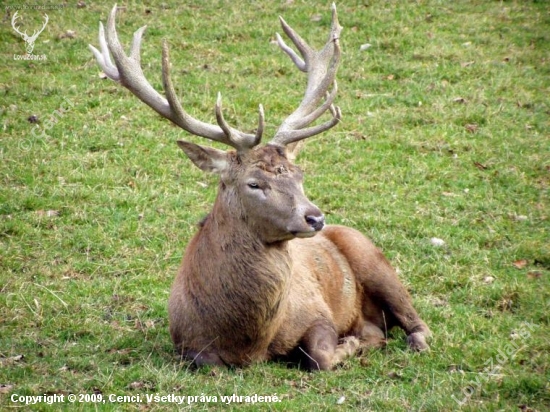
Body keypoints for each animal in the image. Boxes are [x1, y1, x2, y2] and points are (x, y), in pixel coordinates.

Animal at [90, 3, 434, 370]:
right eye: (254, 183)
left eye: (299, 174)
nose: (315, 217)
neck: (249, 342)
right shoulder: (188, 345)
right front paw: (360, 340)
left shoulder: (317, 311)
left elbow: (320, 356)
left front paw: (351, 343)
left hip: (373, 259)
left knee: (416, 322)